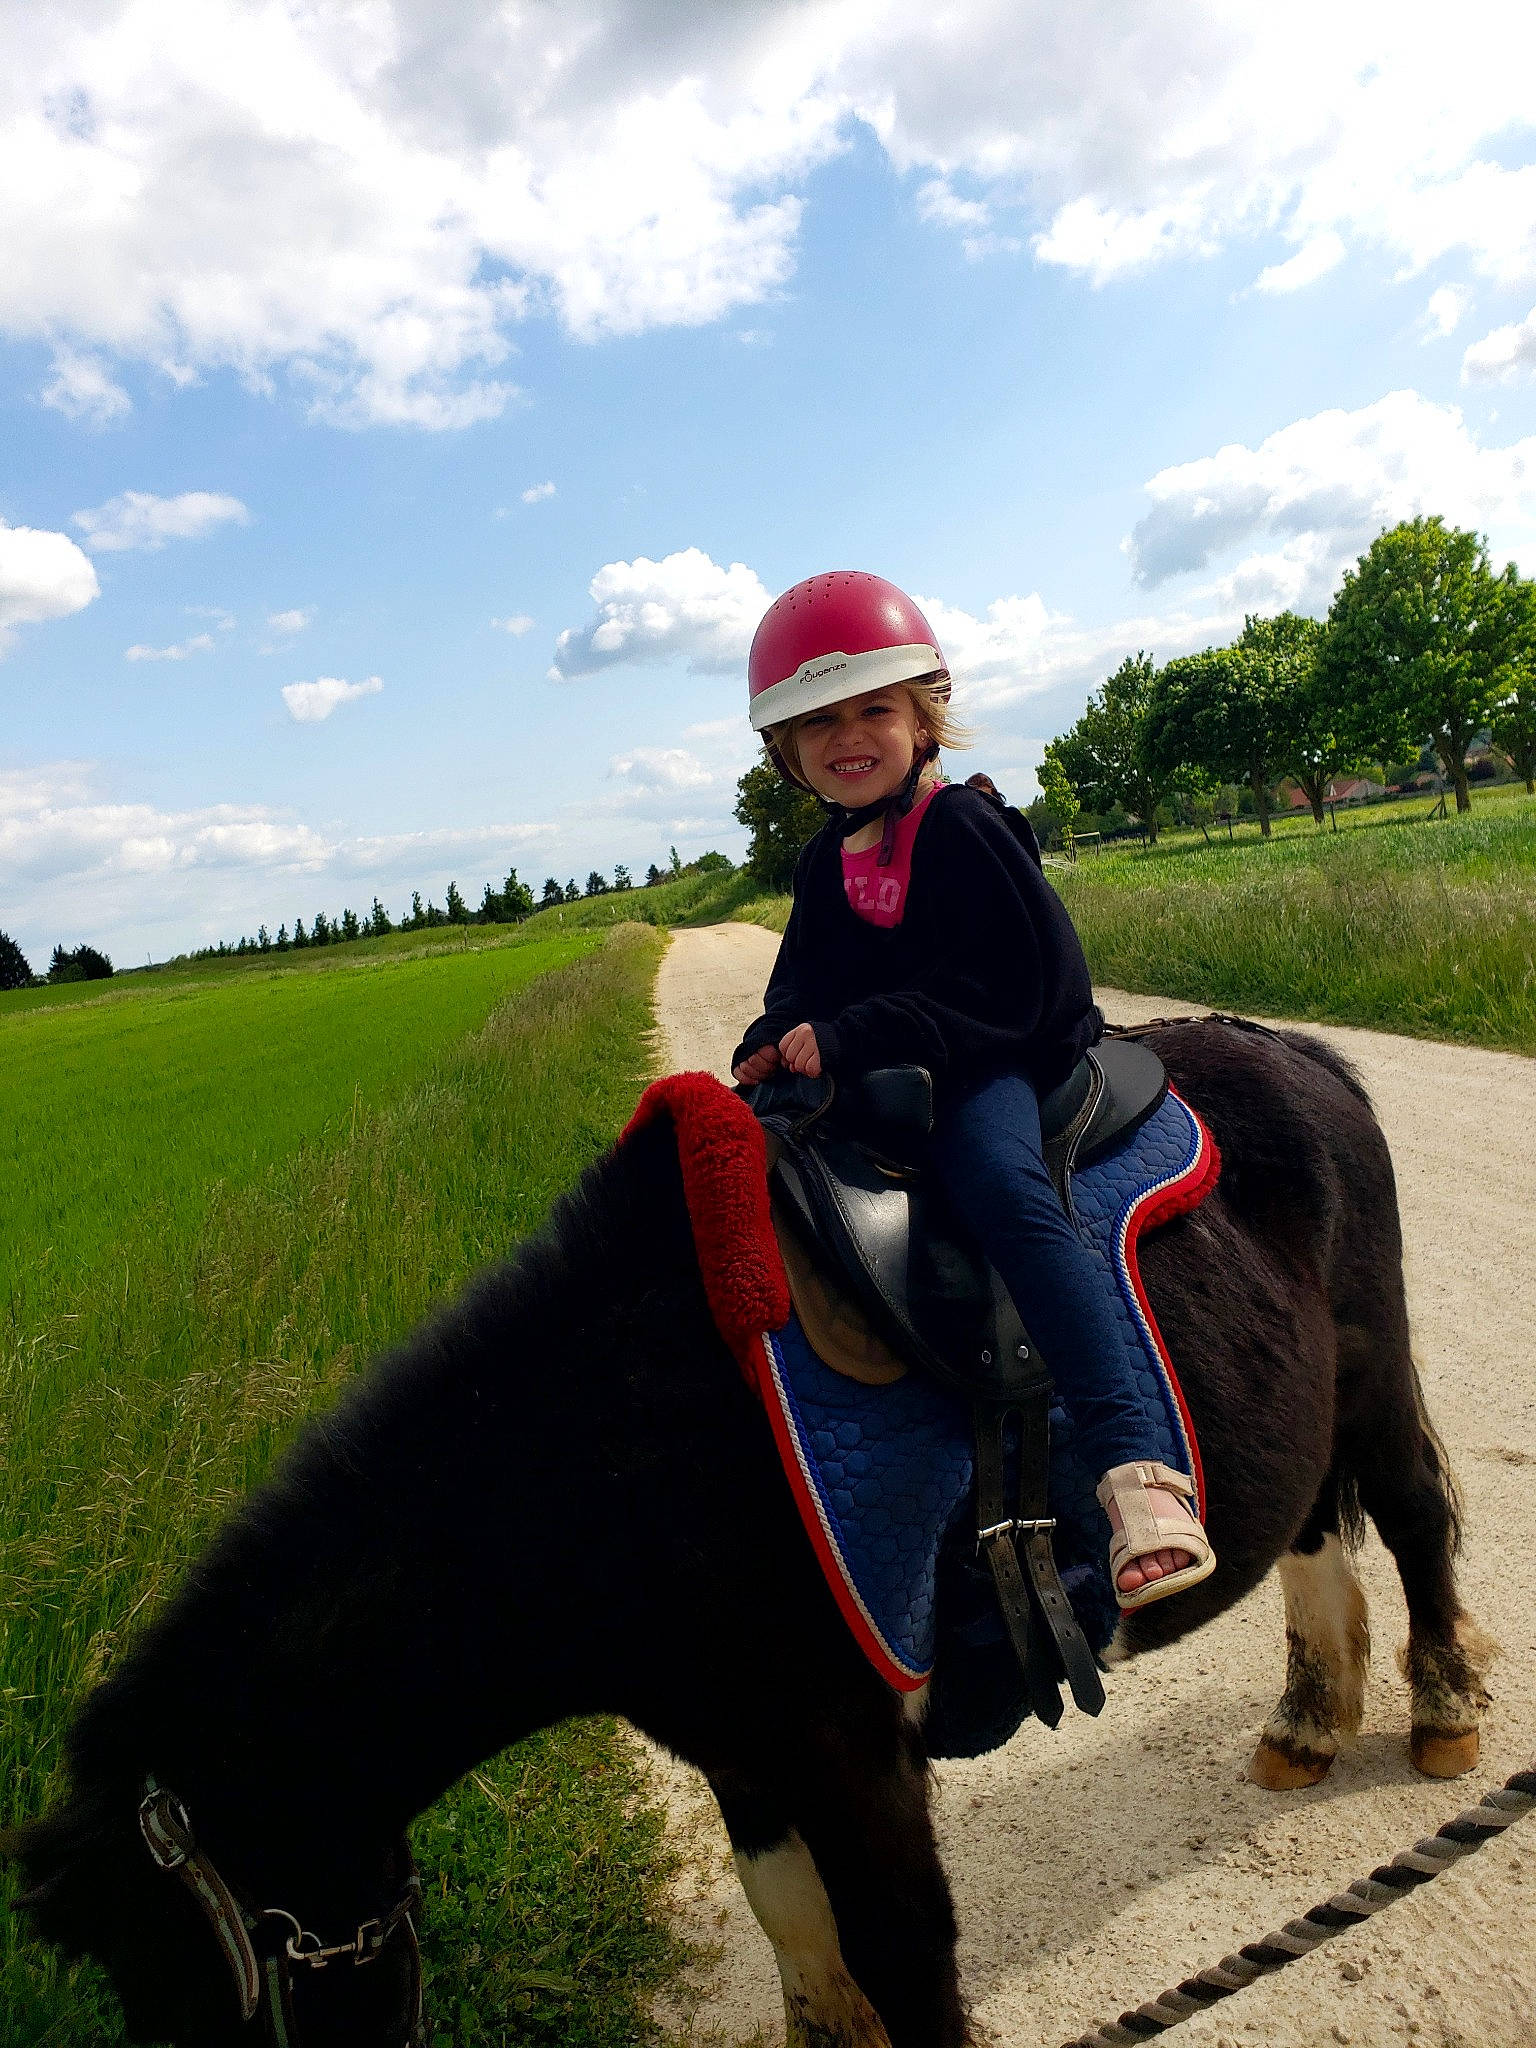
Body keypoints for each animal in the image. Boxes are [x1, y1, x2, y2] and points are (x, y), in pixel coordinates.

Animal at [5, 1019, 1496, 2048]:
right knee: (1312, 1531)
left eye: (185, 1966)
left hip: (1372, 1369)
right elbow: (804, 1945)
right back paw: (1307, 1720)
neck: (625, 1452)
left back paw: (1440, 1709)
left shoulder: (852, 1746)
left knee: (1415, 1516)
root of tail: (1295, 1051)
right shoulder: (742, 1750)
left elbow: (904, 1952)